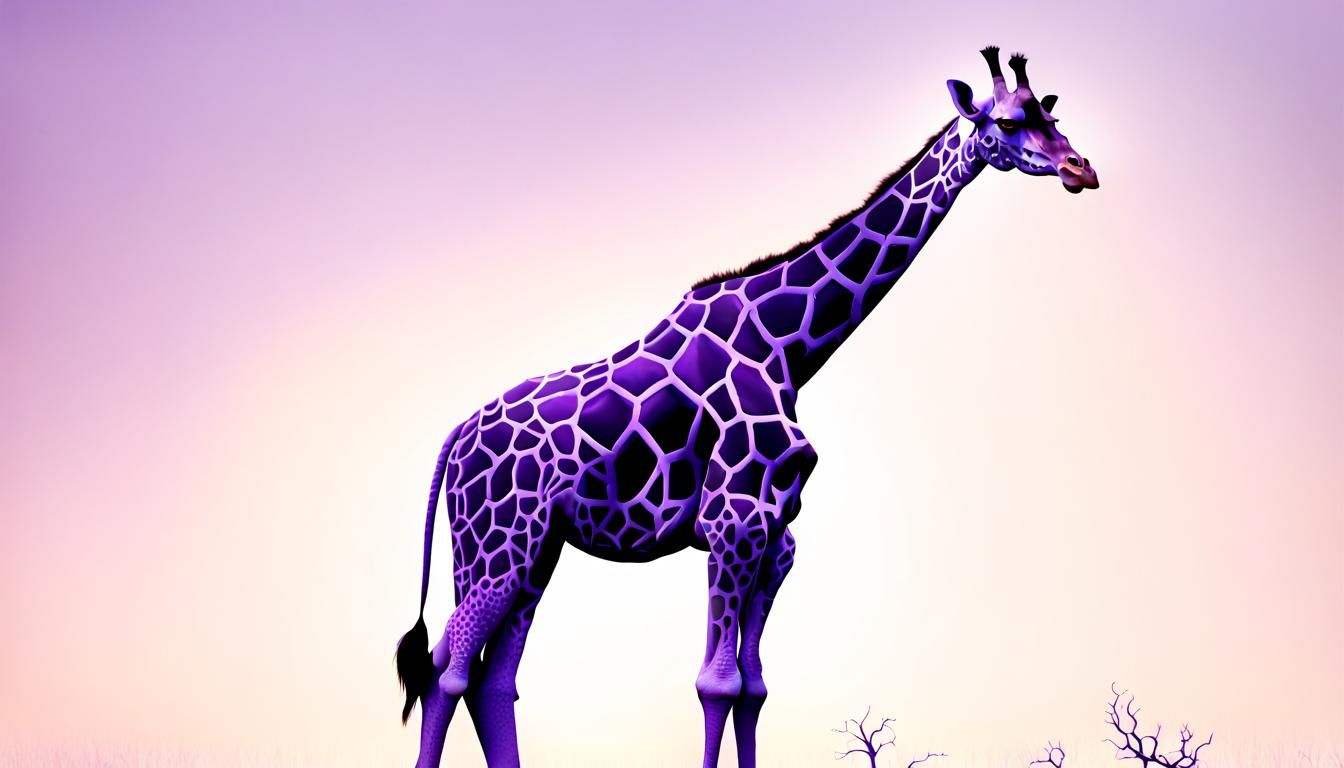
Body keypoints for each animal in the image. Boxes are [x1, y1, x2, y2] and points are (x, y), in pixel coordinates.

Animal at [396, 46, 1099, 768]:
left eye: (1052, 114)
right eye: (1008, 121)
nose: (1082, 169)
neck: (790, 349)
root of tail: (455, 437)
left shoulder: (777, 536)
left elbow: (753, 688)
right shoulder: (732, 522)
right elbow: (716, 682)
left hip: (537, 550)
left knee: (490, 678)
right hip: (496, 542)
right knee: (447, 669)